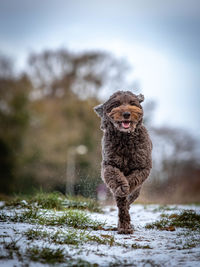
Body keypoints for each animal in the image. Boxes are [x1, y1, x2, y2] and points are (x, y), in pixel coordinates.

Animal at [94, 91, 152, 234]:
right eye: (116, 104)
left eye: (132, 103)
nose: (126, 114)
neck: (125, 138)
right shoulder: (110, 165)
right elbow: (116, 178)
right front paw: (122, 186)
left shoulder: (143, 167)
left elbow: (134, 179)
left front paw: (127, 185)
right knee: (122, 205)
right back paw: (124, 226)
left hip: (137, 191)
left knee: (128, 201)